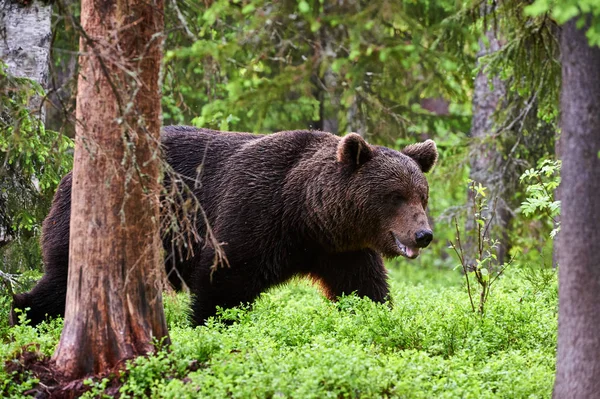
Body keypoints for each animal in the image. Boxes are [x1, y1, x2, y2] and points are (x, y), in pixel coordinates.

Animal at [11, 127, 438, 328]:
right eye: (395, 196)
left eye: (422, 195)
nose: (424, 235)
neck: (306, 216)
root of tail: (69, 171)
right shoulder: (254, 212)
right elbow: (224, 283)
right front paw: (212, 324)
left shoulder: (341, 250)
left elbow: (363, 289)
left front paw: (376, 316)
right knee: (63, 280)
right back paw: (23, 314)